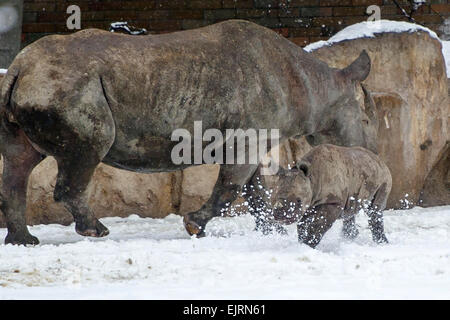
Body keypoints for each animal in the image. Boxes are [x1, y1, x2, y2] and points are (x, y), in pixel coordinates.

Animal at [246, 144, 390, 248]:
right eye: (272, 199)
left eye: (298, 201)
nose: (281, 215)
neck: (312, 177)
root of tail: (380, 160)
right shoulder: (308, 205)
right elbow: (302, 226)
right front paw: (302, 243)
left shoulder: (333, 201)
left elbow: (319, 224)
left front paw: (309, 244)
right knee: (351, 210)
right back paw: (349, 238)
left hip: (384, 178)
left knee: (374, 210)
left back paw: (381, 243)